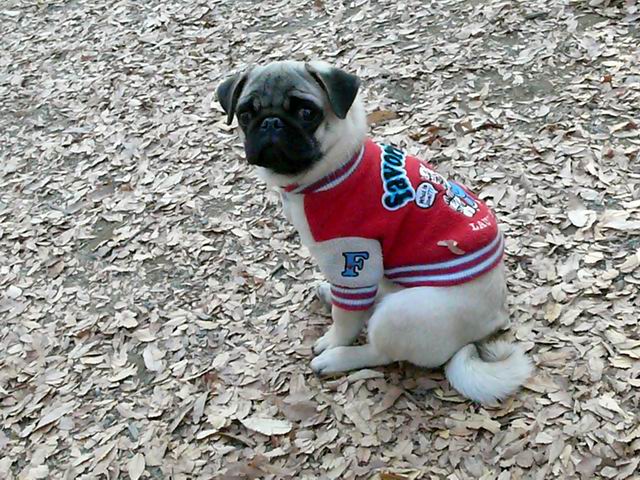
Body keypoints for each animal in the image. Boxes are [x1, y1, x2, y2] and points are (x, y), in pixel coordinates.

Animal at [217, 61, 532, 404]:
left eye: (306, 113)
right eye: (246, 114)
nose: (271, 122)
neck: (331, 169)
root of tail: (496, 317)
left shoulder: (352, 257)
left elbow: (345, 319)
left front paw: (333, 341)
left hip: (399, 314)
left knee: (381, 350)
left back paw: (338, 358)